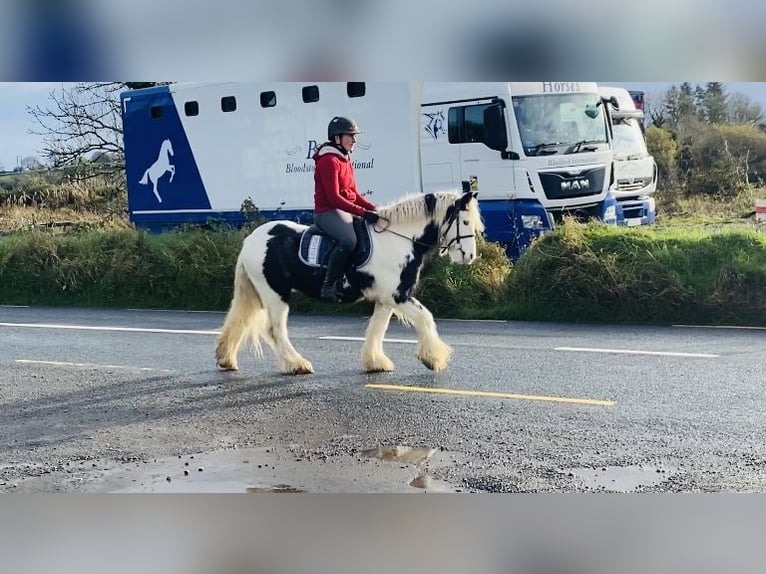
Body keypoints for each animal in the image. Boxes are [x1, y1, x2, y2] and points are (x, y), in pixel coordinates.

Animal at [216, 190, 484, 378]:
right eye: (465, 222)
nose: (470, 257)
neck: (399, 240)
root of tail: (251, 239)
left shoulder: (385, 298)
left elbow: (378, 329)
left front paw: (375, 362)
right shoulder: (397, 295)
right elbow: (425, 318)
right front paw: (434, 359)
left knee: (240, 321)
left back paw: (226, 359)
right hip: (275, 294)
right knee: (275, 330)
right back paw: (297, 364)